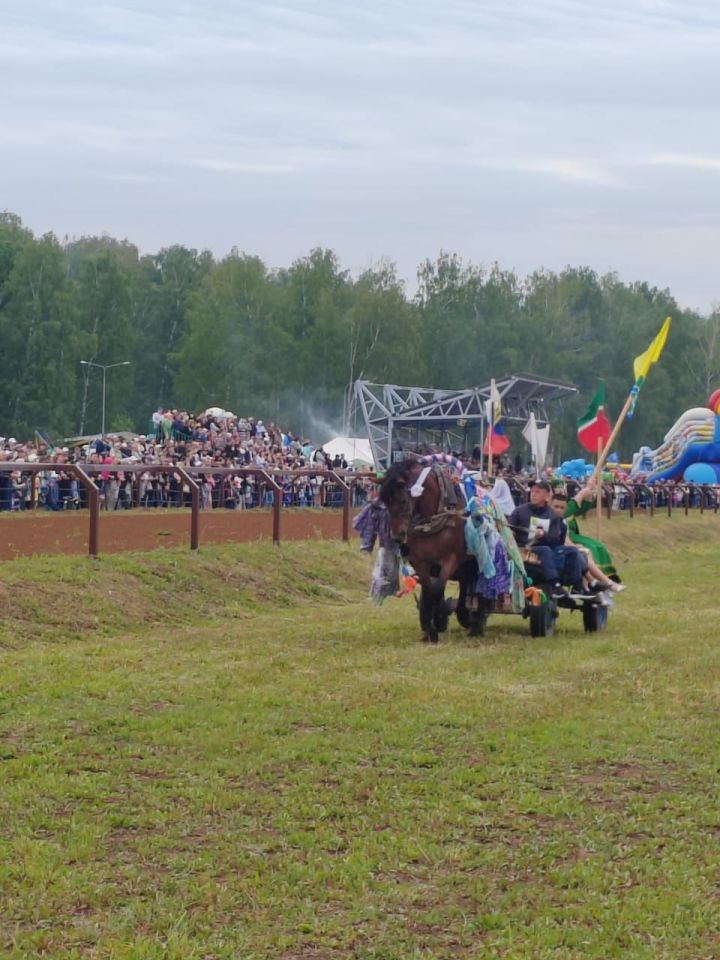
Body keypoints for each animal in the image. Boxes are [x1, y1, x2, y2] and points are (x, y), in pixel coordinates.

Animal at [376, 460, 478, 640]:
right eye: (385, 502)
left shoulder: (451, 558)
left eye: (403, 501)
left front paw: (439, 619)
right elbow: (429, 591)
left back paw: (469, 619)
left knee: (468, 583)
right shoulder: (420, 561)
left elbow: (437, 589)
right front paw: (430, 630)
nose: (397, 536)